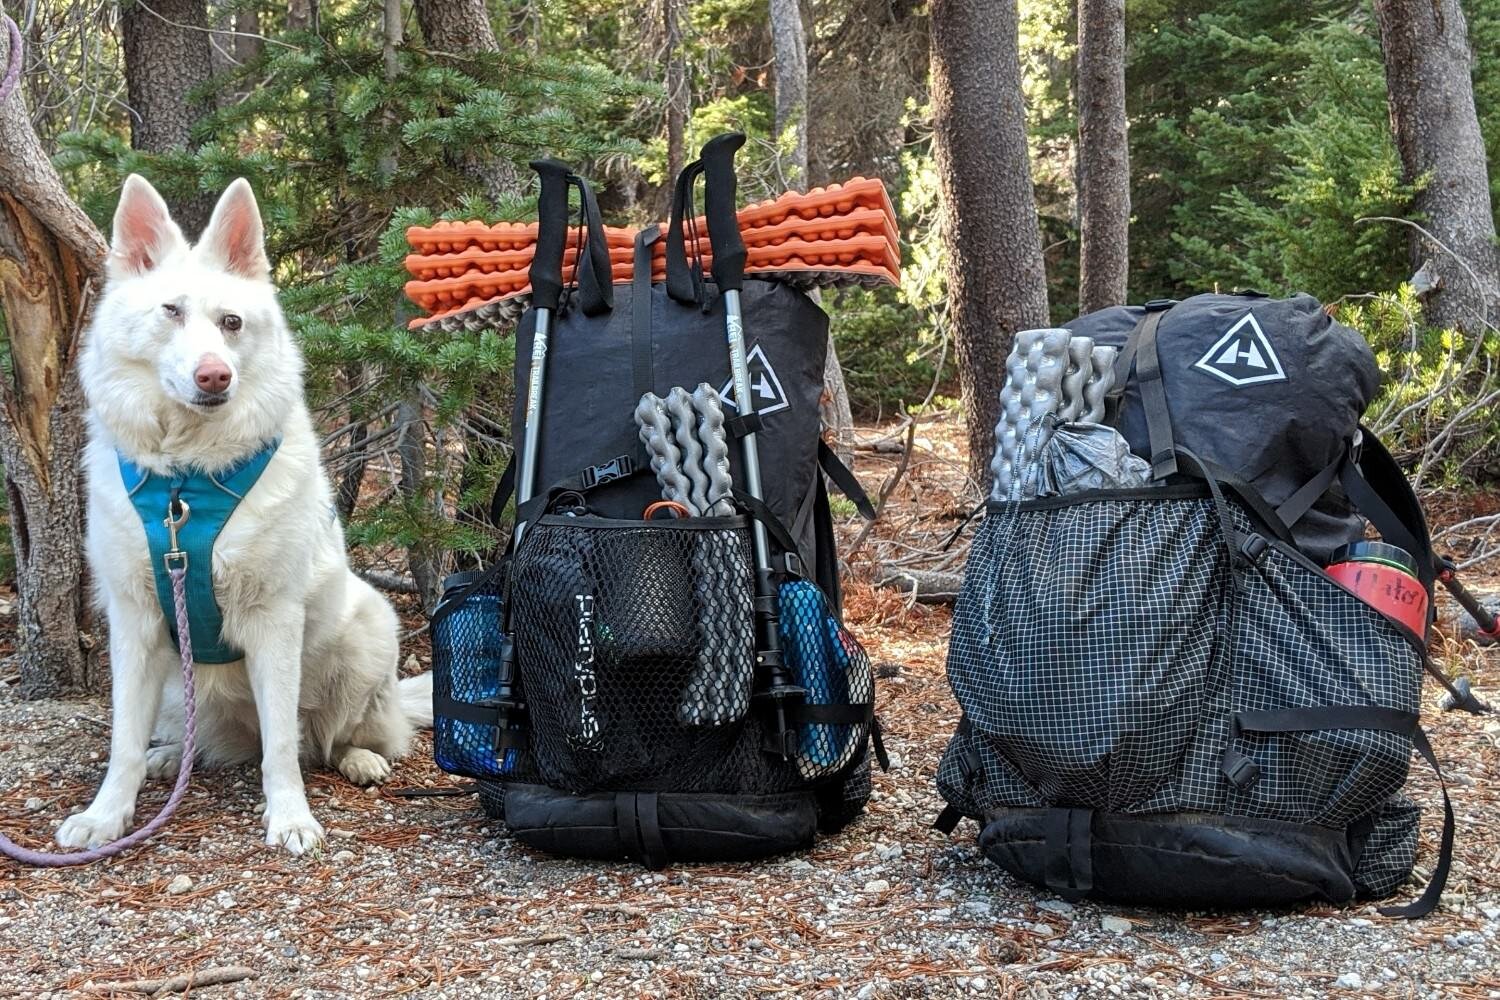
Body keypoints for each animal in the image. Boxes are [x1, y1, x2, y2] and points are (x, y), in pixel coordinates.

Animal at [57, 176, 432, 857]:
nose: (215, 376)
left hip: (369, 630)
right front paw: (107, 816)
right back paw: (169, 756)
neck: (185, 482)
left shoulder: (273, 621)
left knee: (330, 739)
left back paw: (360, 758)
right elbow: (122, 740)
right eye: (171, 312)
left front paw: (289, 818)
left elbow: (281, 747)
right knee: (207, 741)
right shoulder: (135, 622)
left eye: (231, 323)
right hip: (179, 683)